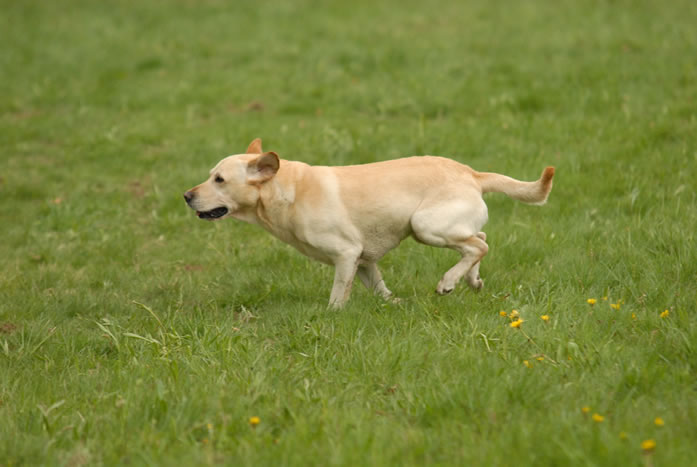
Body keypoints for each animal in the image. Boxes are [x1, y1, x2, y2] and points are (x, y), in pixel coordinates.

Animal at [184, 138, 554, 307]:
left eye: (219, 179)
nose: (186, 196)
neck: (289, 190)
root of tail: (472, 173)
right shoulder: (363, 260)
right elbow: (381, 289)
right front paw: (396, 305)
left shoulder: (346, 254)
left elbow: (337, 295)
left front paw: (332, 314)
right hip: (444, 227)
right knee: (480, 237)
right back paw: (472, 281)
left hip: (424, 226)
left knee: (479, 244)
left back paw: (448, 282)